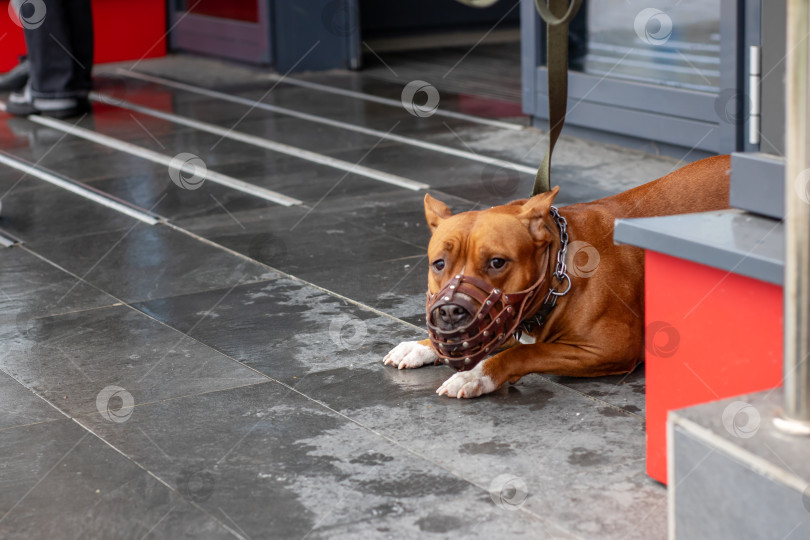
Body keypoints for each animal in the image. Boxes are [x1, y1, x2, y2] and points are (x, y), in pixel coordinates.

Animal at [382, 154, 728, 398]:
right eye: (439, 264)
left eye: (497, 262)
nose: (451, 310)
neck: (558, 272)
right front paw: (421, 346)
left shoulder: (611, 348)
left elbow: (526, 351)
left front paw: (477, 375)